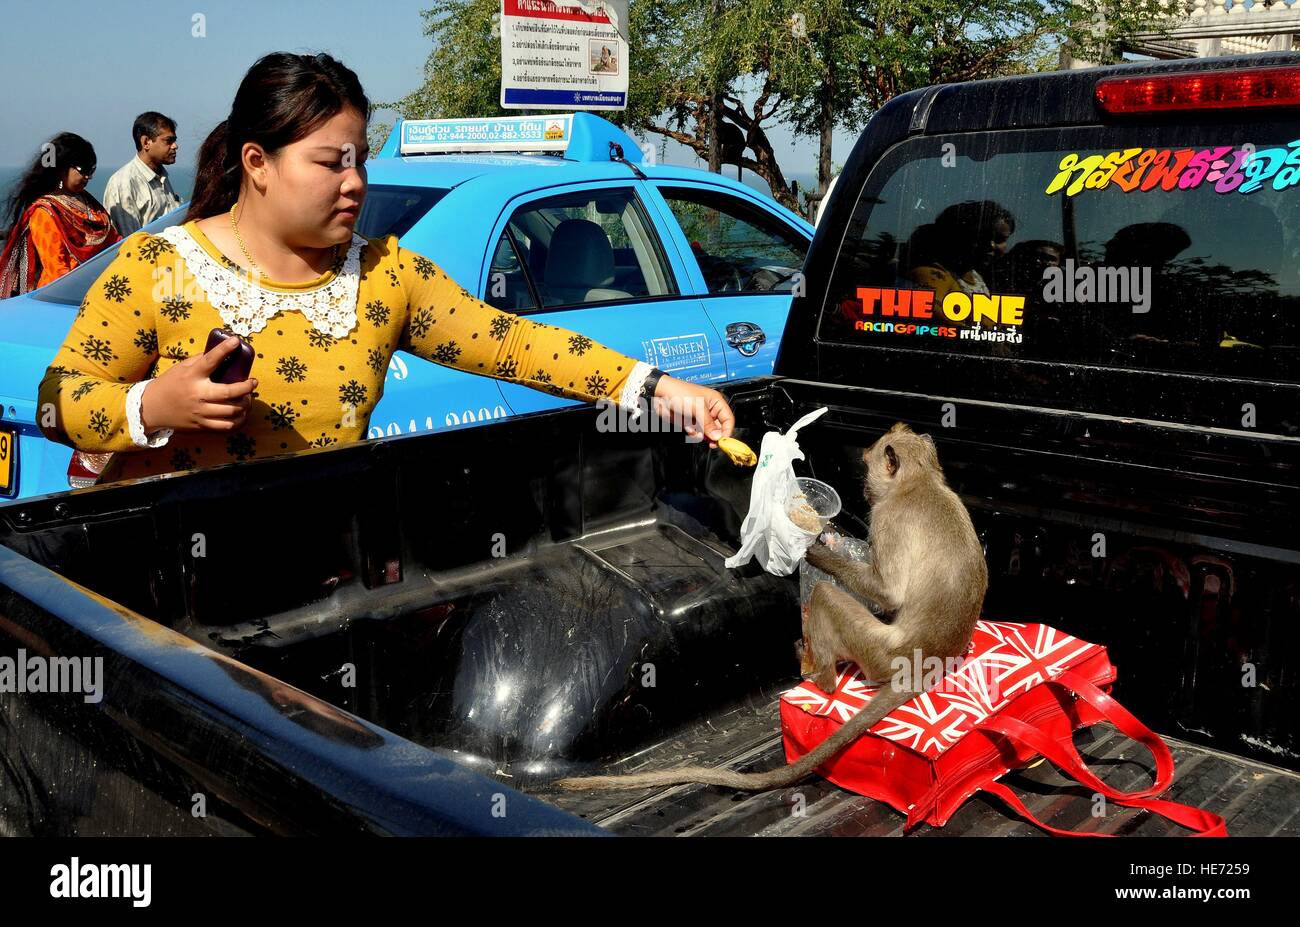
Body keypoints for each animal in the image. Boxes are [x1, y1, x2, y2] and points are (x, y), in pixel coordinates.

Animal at [553, 423, 987, 790]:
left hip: (878, 650)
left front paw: (814, 550)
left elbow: (890, 592)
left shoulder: (887, 518)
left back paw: (820, 677)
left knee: (826, 597)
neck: (920, 482)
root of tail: (925, 665)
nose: (865, 489)